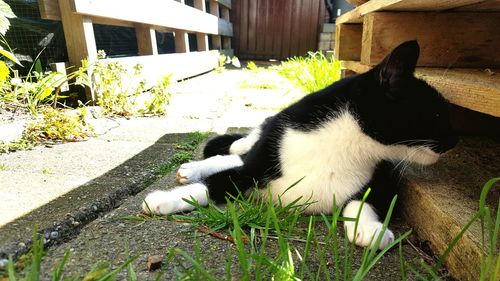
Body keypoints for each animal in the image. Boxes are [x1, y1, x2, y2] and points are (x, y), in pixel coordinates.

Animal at [141, 41, 458, 247]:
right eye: (437, 114)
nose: (456, 140)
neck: (345, 144)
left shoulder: (384, 173)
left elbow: (367, 199)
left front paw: (369, 228)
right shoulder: (263, 159)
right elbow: (216, 183)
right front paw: (166, 199)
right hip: (267, 135)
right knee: (235, 153)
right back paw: (193, 169)